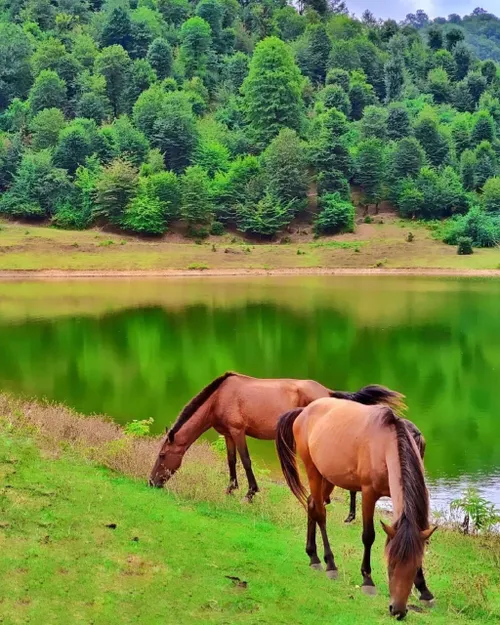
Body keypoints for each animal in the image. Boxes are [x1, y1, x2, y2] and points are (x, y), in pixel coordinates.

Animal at [149, 370, 406, 512]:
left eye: (162, 455)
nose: (151, 482)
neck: (219, 397)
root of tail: (328, 393)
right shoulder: (228, 434)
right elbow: (231, 461)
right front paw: (230, 489)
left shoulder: (238, 432)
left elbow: (246, 461)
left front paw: (250, 494)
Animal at [276, 390, 436, 620]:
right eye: (390, 565)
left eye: (414, 567)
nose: (397, 610)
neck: (387, 444)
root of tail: (304, 411)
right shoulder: (369, 494)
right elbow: (368, 536)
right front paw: (367, 580)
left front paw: (424, 590)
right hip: (313, 470)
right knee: (320, 513)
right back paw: (329, 564)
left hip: (328, 477)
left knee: (312, 504)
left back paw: (312, 556)